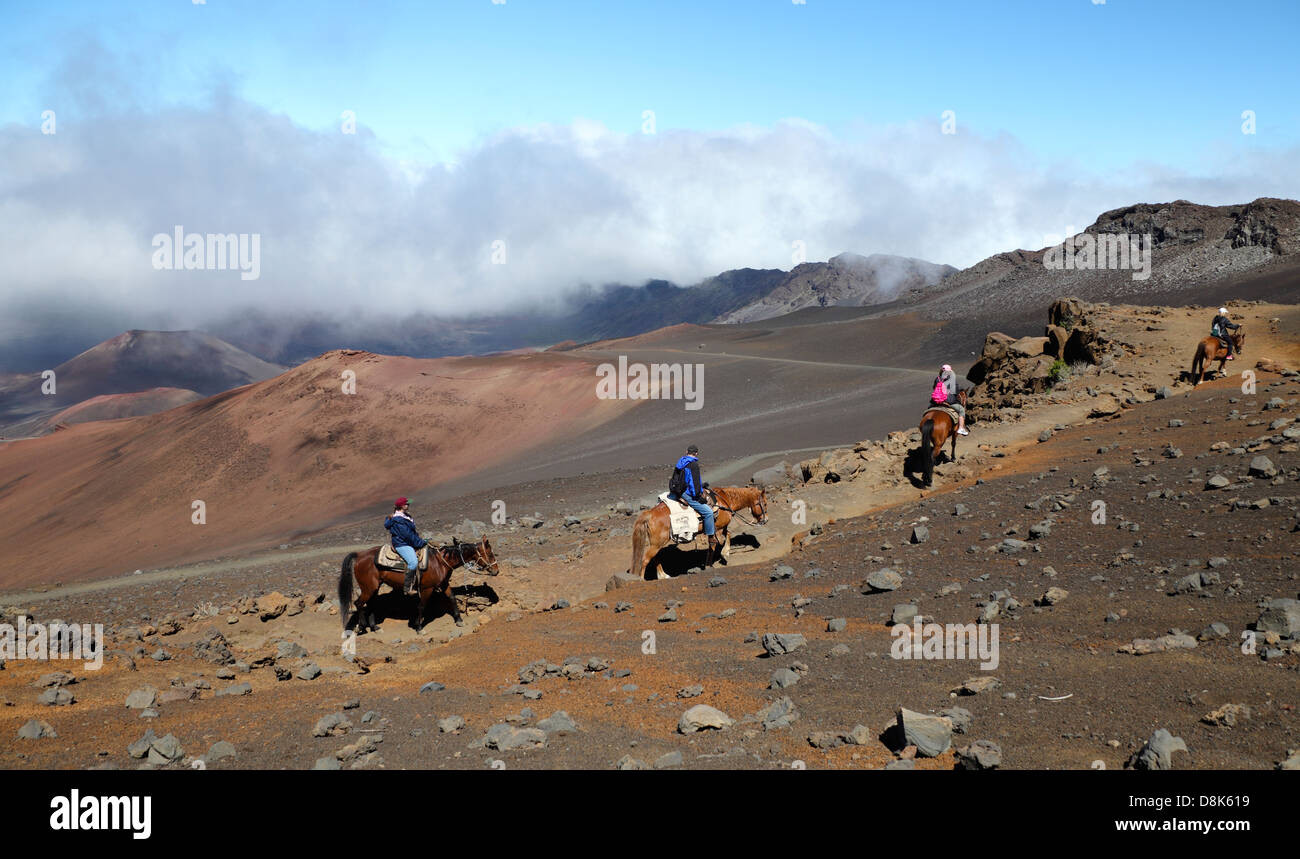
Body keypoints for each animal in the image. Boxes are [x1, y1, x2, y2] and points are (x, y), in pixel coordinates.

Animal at [335, 540, 496, 634]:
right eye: (489, 554)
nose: (496, 570)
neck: (440, 562)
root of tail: (359, 555)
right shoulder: (427, 588)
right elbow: (422, 605)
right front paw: (419, 627)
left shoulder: (443, 584)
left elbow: (452, 597)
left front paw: (459, 620)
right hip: (368, 588)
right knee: (358, 603)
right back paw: (362, 627)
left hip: (375, 587)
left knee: (370, 604)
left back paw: (375, 627)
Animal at [626, 486, 764, 579]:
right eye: (764, 503)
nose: (765, 520)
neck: (725, 501)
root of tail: (650, 513)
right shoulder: (718, 528)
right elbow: (717, 542)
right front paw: (723, 555)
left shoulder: (719, 528)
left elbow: (725, 536)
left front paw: (719, 557)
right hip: (656, 543)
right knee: (645, 560)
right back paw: (642, 579)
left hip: (657, 543)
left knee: (655, 558)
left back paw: (663, 576)